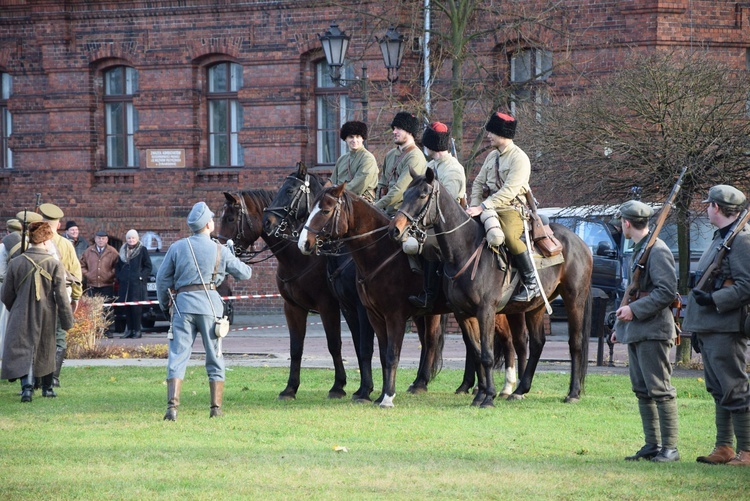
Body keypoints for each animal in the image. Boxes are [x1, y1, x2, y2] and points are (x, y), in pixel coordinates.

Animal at [216, 189, 362, 400]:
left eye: (230, 218)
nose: (218, 251)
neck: (298, 256)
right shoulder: (293, 308)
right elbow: (296, 347)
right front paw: (290, 388)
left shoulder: (328, 307)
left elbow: (334, 344)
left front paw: (338, 386)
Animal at [390, 168, 596, 406]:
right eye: (405, 194)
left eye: (423, 195)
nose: (395, 229)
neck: (465, 250)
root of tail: (580, 243)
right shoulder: (463, 314)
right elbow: (477, 352)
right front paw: (481, 394)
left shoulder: (486, 311)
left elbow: (487, 354)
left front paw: (488, 396)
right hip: (535, 307)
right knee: (536, 343)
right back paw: (520, 389)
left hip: (574, 300)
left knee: (575, 343)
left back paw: (572, 393)